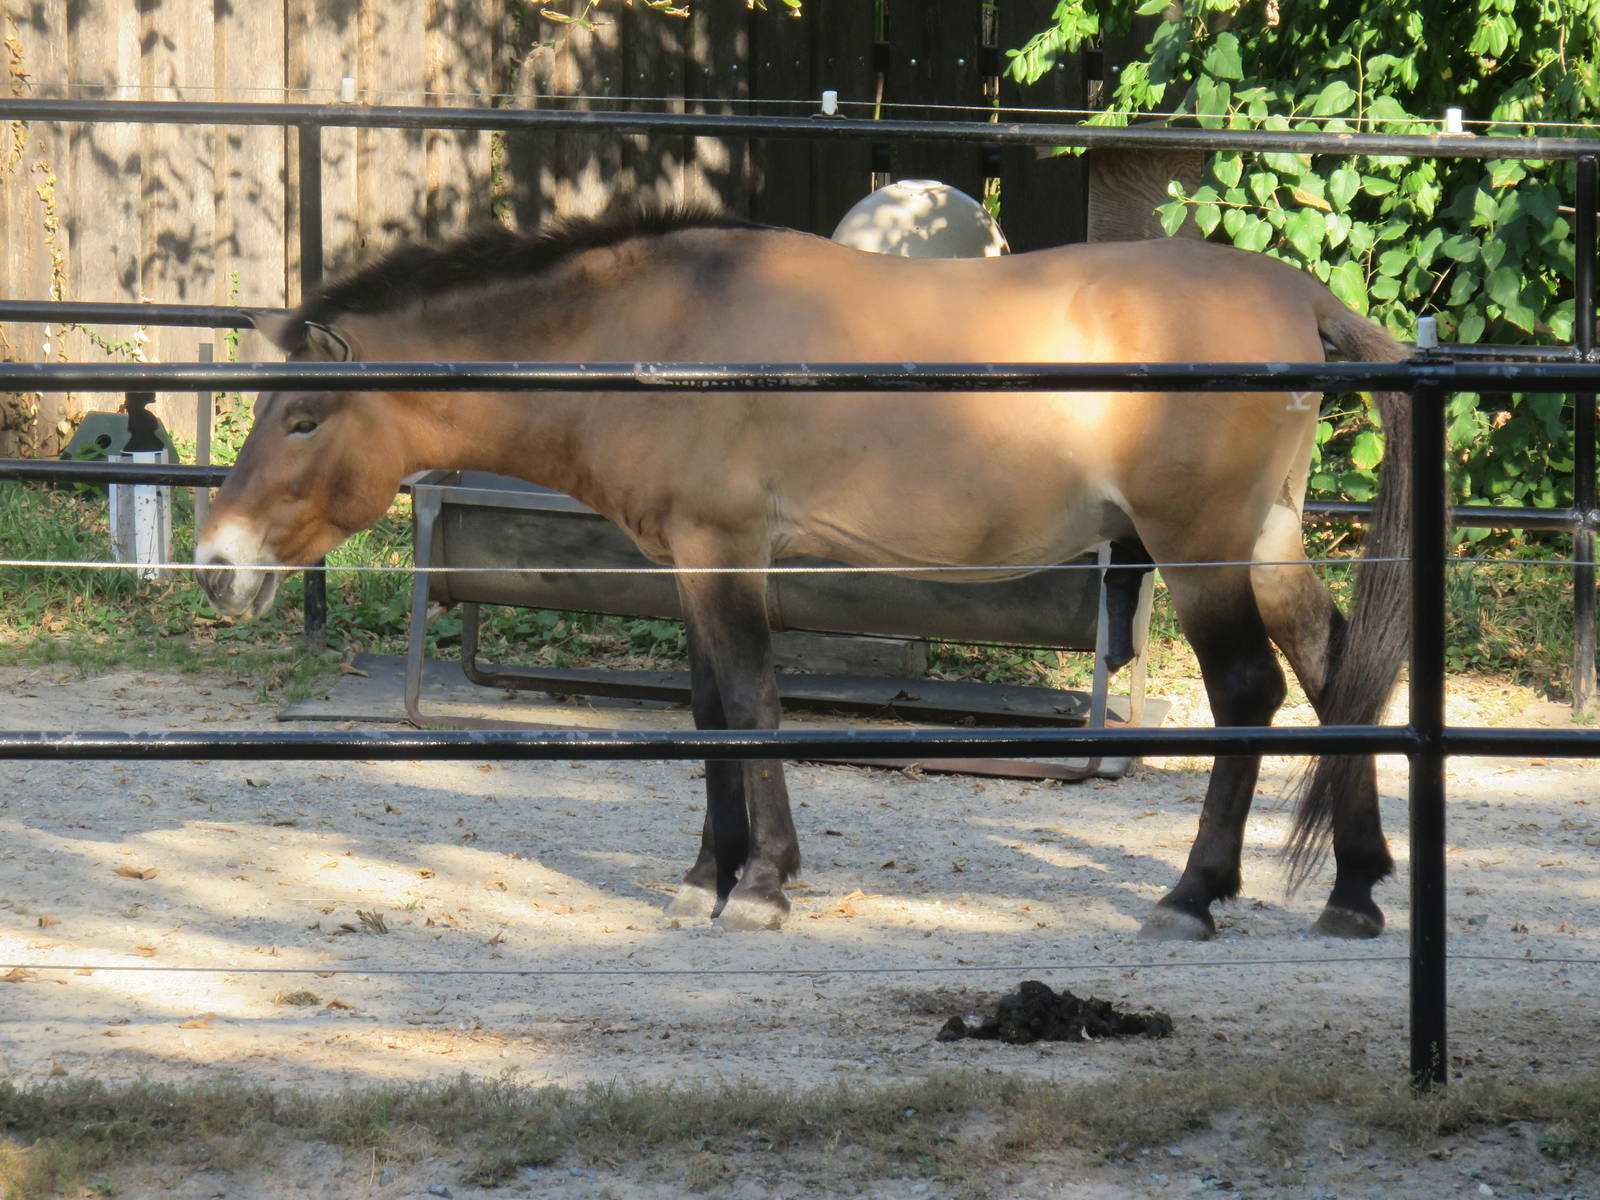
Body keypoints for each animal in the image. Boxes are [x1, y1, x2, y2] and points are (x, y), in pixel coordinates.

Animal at [196, 206, 1411, 940]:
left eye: (303, 420)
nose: (215, 565)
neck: (659, 338)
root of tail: (1301, 297)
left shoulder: (726, 549)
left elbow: (753, 705)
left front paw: (765, 883)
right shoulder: (687, 563)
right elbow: (708, 715)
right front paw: (708, 875)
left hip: (1201, 547)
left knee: (1250, 691)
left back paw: (1192, 895)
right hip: (1267, 538)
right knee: (1334, 671)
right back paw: (1354, 890)